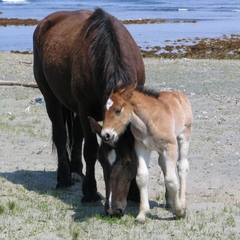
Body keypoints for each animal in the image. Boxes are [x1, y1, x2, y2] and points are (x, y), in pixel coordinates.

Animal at [32, 7, 145, 201]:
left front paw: (135, 193)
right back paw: (64, 177)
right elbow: (90, 149)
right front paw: (90, 192)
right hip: (51, 98)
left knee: (77, 135)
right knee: (60, 135)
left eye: (129, 162)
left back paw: (76, 171)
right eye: (103, 161)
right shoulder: (85, 110)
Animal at [101, 82, 193, 223]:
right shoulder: (141, 147)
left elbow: (171, 180)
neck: (149, 120)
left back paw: (182, 202)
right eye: (104, 110)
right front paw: (142, 213)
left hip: (184, 136)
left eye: (118, 110)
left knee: (182, 166)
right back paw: (169, 201)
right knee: (164, 166)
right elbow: (141, 177)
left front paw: (180, 212)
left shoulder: (170, 146)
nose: (106, 135)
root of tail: (179, 95)